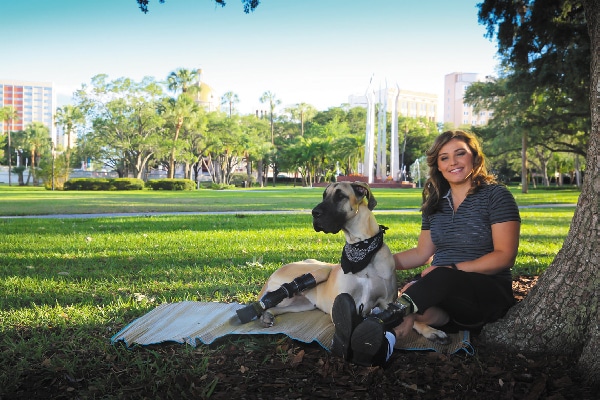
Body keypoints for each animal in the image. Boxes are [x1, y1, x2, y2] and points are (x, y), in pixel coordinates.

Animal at [237, 180, 448, 344]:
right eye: (324, 195)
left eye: (340, 196)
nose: (314, 213)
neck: (361, 249)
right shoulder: (342, 306)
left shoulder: (387, 301)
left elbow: (406, 315)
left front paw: (430, 330)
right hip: (319, 271)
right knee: (271, 299)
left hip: (303, 304)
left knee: (275, 308)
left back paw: (267, 315)